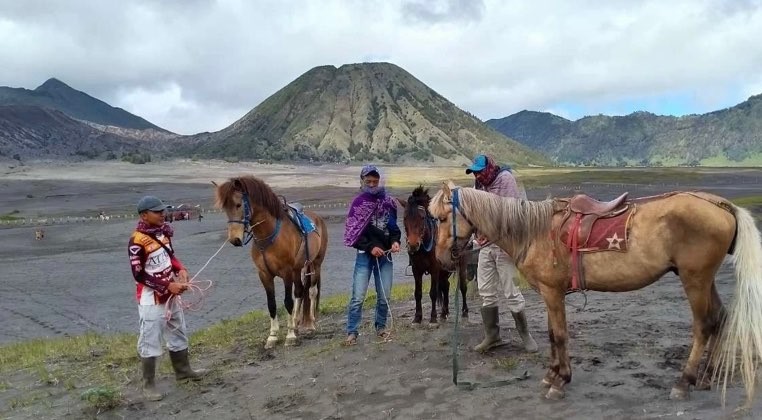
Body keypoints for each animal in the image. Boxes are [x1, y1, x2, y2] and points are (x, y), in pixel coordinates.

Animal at [214, 176, 326, 350]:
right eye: (225, 208)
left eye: (238, 204)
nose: (234, 239)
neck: (269, 236)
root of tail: (317, 218)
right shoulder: (264, 275)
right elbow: (271, 305)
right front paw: (273, 336)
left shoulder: (287, 273)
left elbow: (288, 302)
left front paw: (290, 336)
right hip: (299, 268)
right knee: (300, 292)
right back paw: (296, 323)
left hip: (315, 264)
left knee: (311, 292)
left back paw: (310, 324)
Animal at [394, 185, 466, 324]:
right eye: (405, 218)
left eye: (422, 218)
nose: (413, 244)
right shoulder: (416, 270)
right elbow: (418, 293)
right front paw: (417, 317)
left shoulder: (435, 269)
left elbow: (433, 293)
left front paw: (433, 317)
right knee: (445, 286)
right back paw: (444, 313)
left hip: (461, 264)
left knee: (463, 287)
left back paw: (465, 311)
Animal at [428, 182, 760, 406]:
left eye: (443, 218)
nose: (442, 259)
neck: (534, 232)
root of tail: (721, 204)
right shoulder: (550, 294)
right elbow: (553, 334)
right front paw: (552, 374)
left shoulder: (553, 293)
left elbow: (560, 335)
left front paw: (560, 381)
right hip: (704, 279)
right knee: (720, 318)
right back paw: (706, 376)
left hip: (695, 280)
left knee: (704, 325)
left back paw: (684, 382)